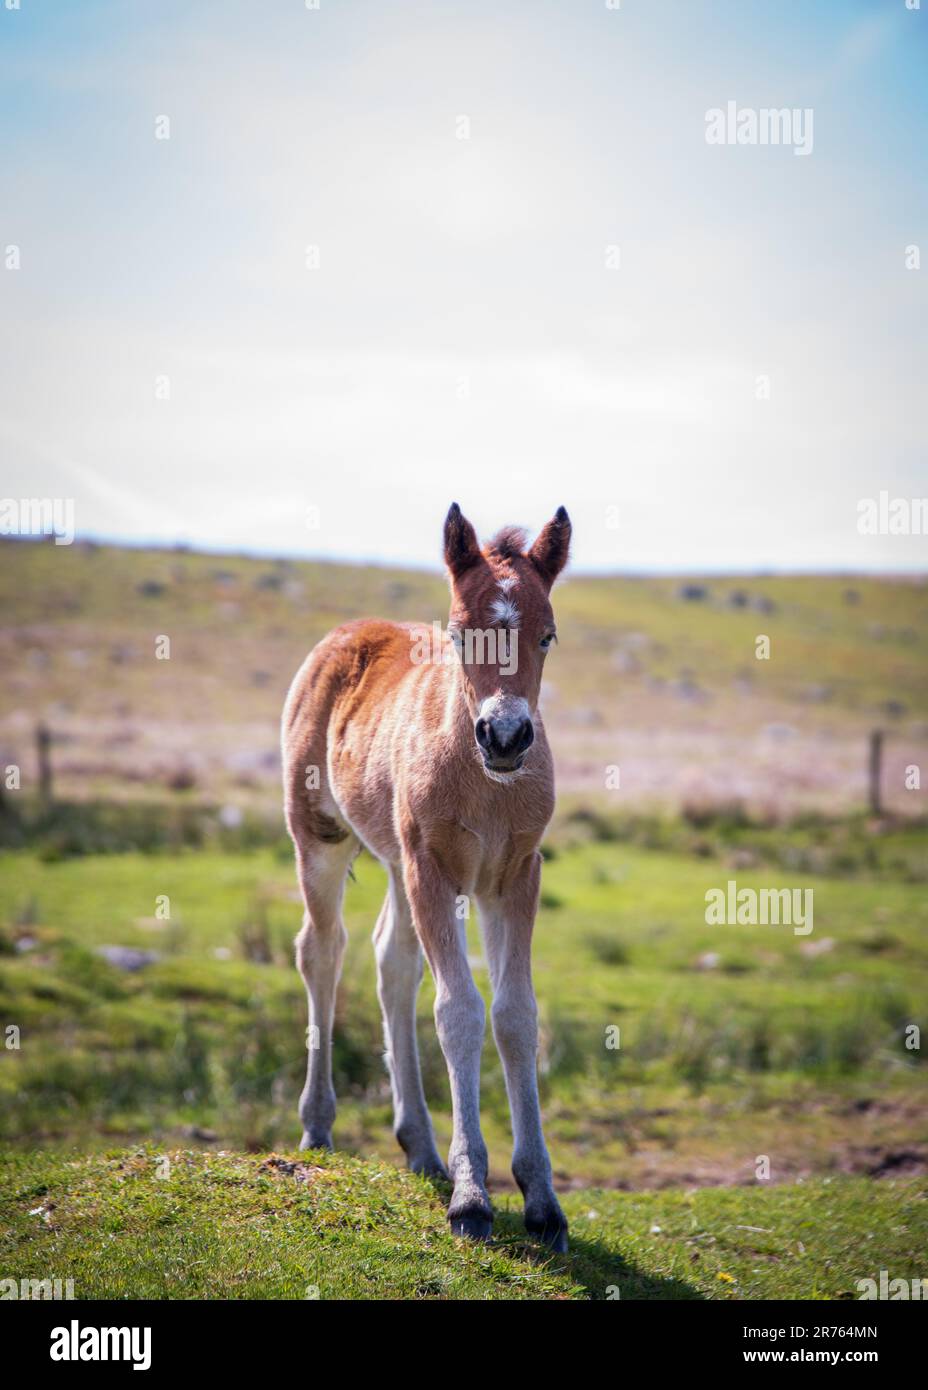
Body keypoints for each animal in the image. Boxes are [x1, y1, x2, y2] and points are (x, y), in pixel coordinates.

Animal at [281, 503, 571, 1249]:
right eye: (461, 632)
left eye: (548, 635)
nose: (506, 737)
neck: (486, 783)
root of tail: (348, 632)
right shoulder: (433, 869)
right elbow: (458, 1010)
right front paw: (472, 1199)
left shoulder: (515, 877)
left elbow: (516, 1015)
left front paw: (542, 1202)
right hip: (321, 837)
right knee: (322, 951)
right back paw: (317, 1125)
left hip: (394, 860)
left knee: (392, 963)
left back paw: (420, 1145)